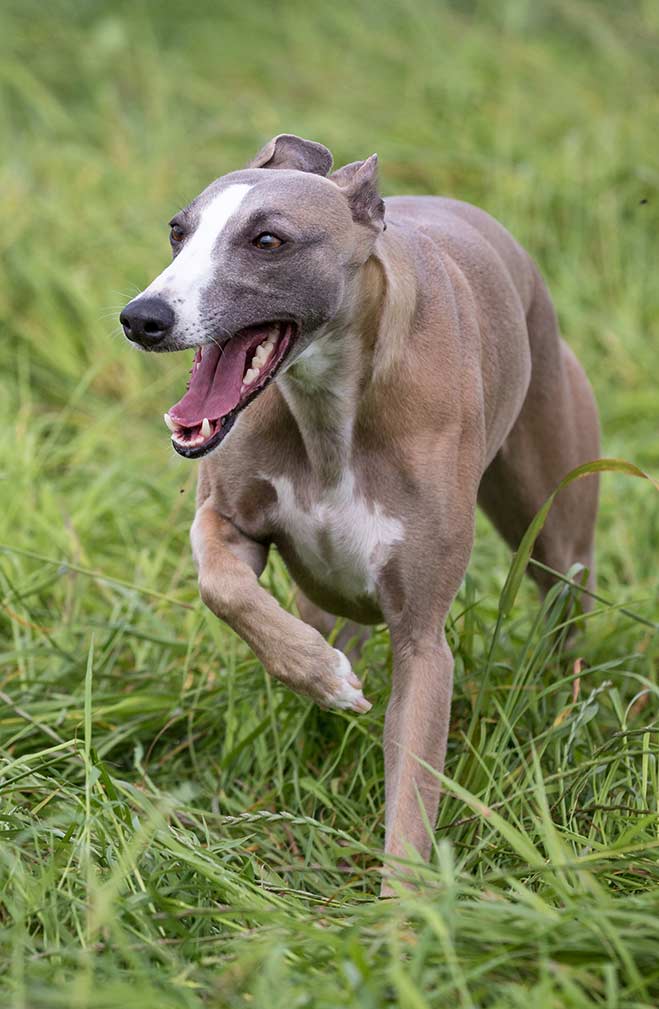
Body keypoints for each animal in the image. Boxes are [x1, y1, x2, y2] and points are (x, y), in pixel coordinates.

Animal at [120, 134, 597, 891]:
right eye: (178, 231)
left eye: (267, 239)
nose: (143, 317)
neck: (330, 408)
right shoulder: (229, 520)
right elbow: (222, 586)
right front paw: (320, 675)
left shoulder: (422, 641)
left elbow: (412, 795)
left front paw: (405, 916)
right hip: (330, 594)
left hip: (552, 522)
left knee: (566, 604)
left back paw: (566, 714)